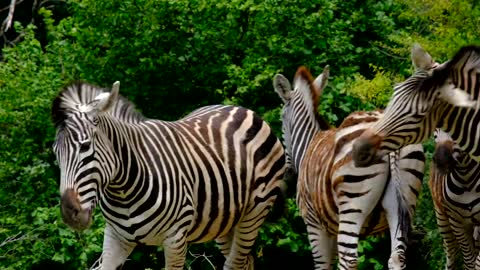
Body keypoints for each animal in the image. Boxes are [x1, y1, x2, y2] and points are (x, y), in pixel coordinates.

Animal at [51, 80, 286, 270]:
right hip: (225, 222)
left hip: (255, 212)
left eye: (85, 146)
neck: (124, 190)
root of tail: (240, 109)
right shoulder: (115, 237)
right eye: (56, 152)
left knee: (235, 263)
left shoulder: (175, 239)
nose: (69, 214)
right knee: (245, 261)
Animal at [272, 66, 426, 270]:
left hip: (352, 204)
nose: (288, 172)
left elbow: (322, 265)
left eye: (281, 119)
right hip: (403, 201)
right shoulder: (331, 226)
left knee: (349, 259)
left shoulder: (313, 222)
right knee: (397, 258)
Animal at [430, 128, 480, 268]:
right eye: (435, 133)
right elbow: (469, 261)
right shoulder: (455, 221)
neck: (466, 178)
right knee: (450, 251)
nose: (440, 161)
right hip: (442, 219)